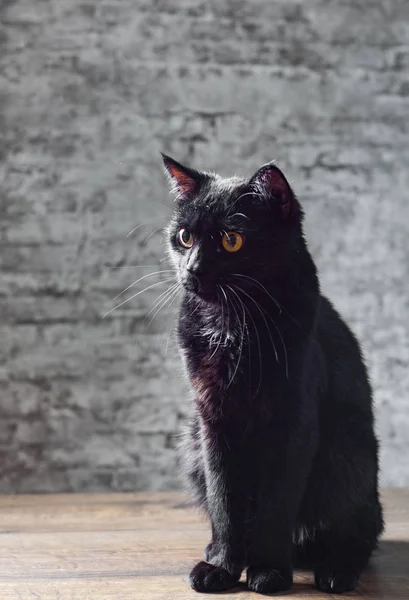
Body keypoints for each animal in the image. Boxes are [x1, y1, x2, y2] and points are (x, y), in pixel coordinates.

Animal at [162, 155, 382, 596]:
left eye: (232, 240)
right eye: (184, 237)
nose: (194, 269)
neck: (234, 324)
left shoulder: (293, 421)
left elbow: (277, 504)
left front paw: (269, 571)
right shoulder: (214, 421)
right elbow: (224, 497)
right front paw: (223, 568)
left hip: (348, 455)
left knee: (360, 530)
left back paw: (336, 570)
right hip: (192, 443)